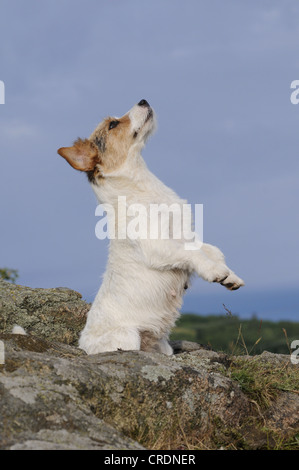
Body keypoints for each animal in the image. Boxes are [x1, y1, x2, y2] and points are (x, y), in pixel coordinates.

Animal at [57, 100, 245, 356]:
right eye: (112, 124)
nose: (143, 101)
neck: (141, 188)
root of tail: (83, 346)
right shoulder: (158, 246)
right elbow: (194, 254)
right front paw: (215, 271)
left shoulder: (186, 235)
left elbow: (212, 250)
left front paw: (229, 275)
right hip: (127, 338)